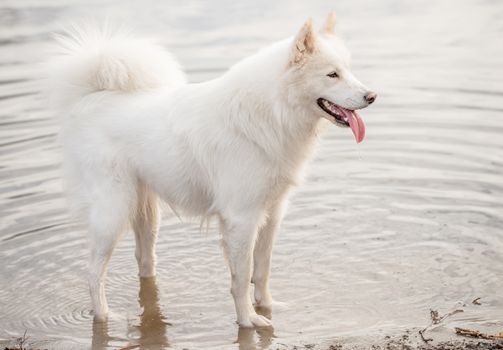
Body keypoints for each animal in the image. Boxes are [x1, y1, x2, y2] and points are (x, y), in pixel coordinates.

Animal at [49, 13, 376, 328]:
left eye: (348, 70)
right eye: (332, 74)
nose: (372, 96)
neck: (272, 111)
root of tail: (93, 97)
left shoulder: (272, 213)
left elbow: (263, 269)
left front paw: (268, 307)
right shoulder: (242, 220)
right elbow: (242, 278)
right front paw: (248, 321)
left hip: (146, 212)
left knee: (144, 259)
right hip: (113, 211)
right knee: (93, 271)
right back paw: (105, 316)